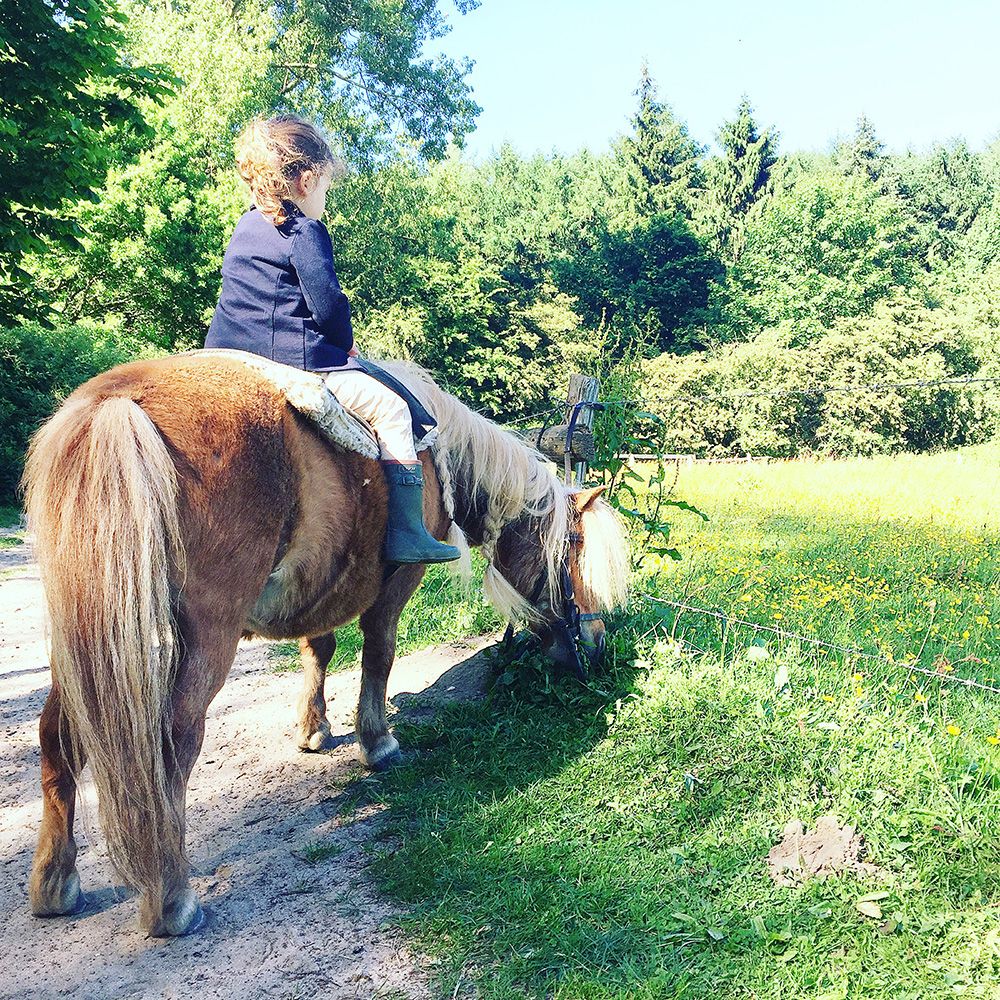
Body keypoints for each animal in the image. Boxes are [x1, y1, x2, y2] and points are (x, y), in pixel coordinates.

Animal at [23, 352, 628, 936]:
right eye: (575, 548)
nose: (597, 644)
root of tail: (117, 403)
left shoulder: (320, 588)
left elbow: (320, 650)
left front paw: (313, 728)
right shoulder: (395, 584)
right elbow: (379, 653)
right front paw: (376, 741)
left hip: (84, 639)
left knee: (56, 736)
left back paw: (55, 881)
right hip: (205, 632)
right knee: (172, 741)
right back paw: (172, 898)